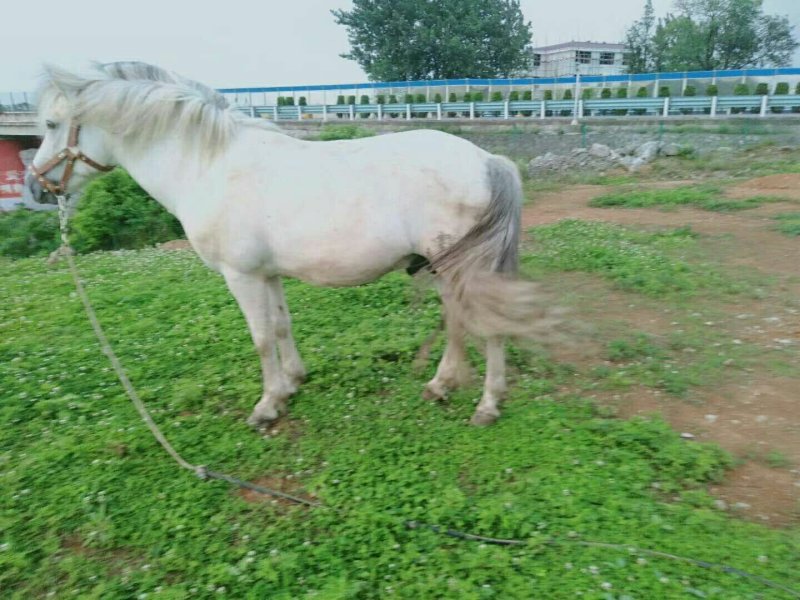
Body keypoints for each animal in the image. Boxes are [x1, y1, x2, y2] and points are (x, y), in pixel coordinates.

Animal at [26, 61, 556, 427]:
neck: (209, 166)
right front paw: (293, 382)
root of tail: (487, 159)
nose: (36, 187)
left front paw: (267, 405)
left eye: (51, 125)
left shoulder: (240, 276)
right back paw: (441, 386)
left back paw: (487, 405)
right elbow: (281, 327)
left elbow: (260, 337)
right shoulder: (267, 273)